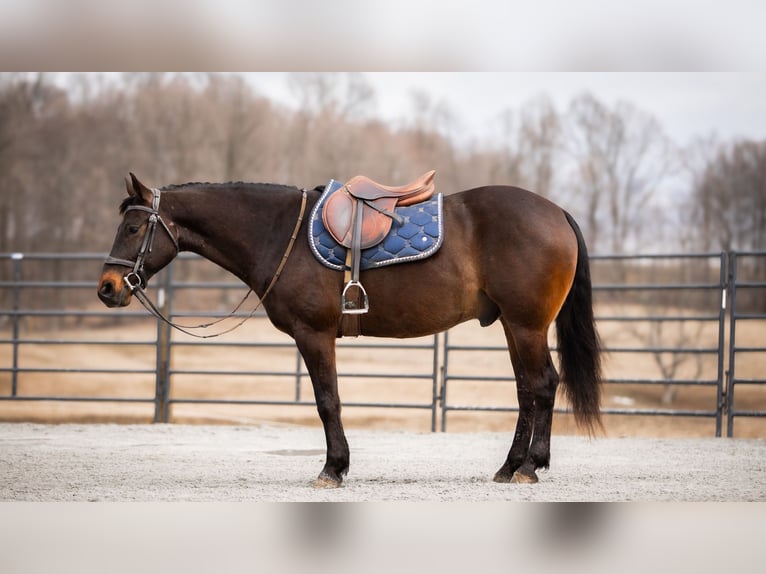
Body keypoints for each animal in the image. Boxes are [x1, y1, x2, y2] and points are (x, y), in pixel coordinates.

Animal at [96, 173, 604, 488]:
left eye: (134, 227)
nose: (107, 288)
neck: (282, 233)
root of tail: (556, 211)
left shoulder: (314, 334)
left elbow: (327, 402)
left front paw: (333, 469)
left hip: (526, 325)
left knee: (542, 384)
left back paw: (530, 467)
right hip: (516, 328)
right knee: (528, 389)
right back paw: (510, 466)